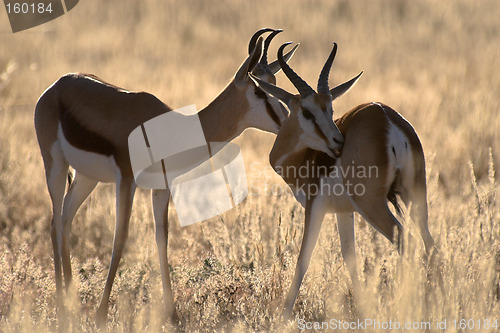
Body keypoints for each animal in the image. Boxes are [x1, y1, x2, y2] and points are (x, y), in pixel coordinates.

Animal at [35, 27, 298, 324]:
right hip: (55, 165)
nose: (287, 119)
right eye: (258, 89)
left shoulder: (162, 187)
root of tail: (57, 85)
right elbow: (120, 239)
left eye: (273, 81)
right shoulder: (127, 180)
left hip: (86, 177)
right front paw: (101, 314)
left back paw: (69, 300)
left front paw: (172, 315)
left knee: (65, 219)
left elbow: (162, 239)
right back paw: (61, 305)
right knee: (55, 221)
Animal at [252, 42, 436, 316]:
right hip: (415, 196)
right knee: (430, 244)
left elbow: (303, 259)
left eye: (330, 108)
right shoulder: (344, 211)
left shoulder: (315, 207)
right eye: (308, 111)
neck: (304, 157)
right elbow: (350, 257)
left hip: (372, 204)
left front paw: (283, 315)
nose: (338, 143)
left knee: (406, 242)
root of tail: (385, 116)